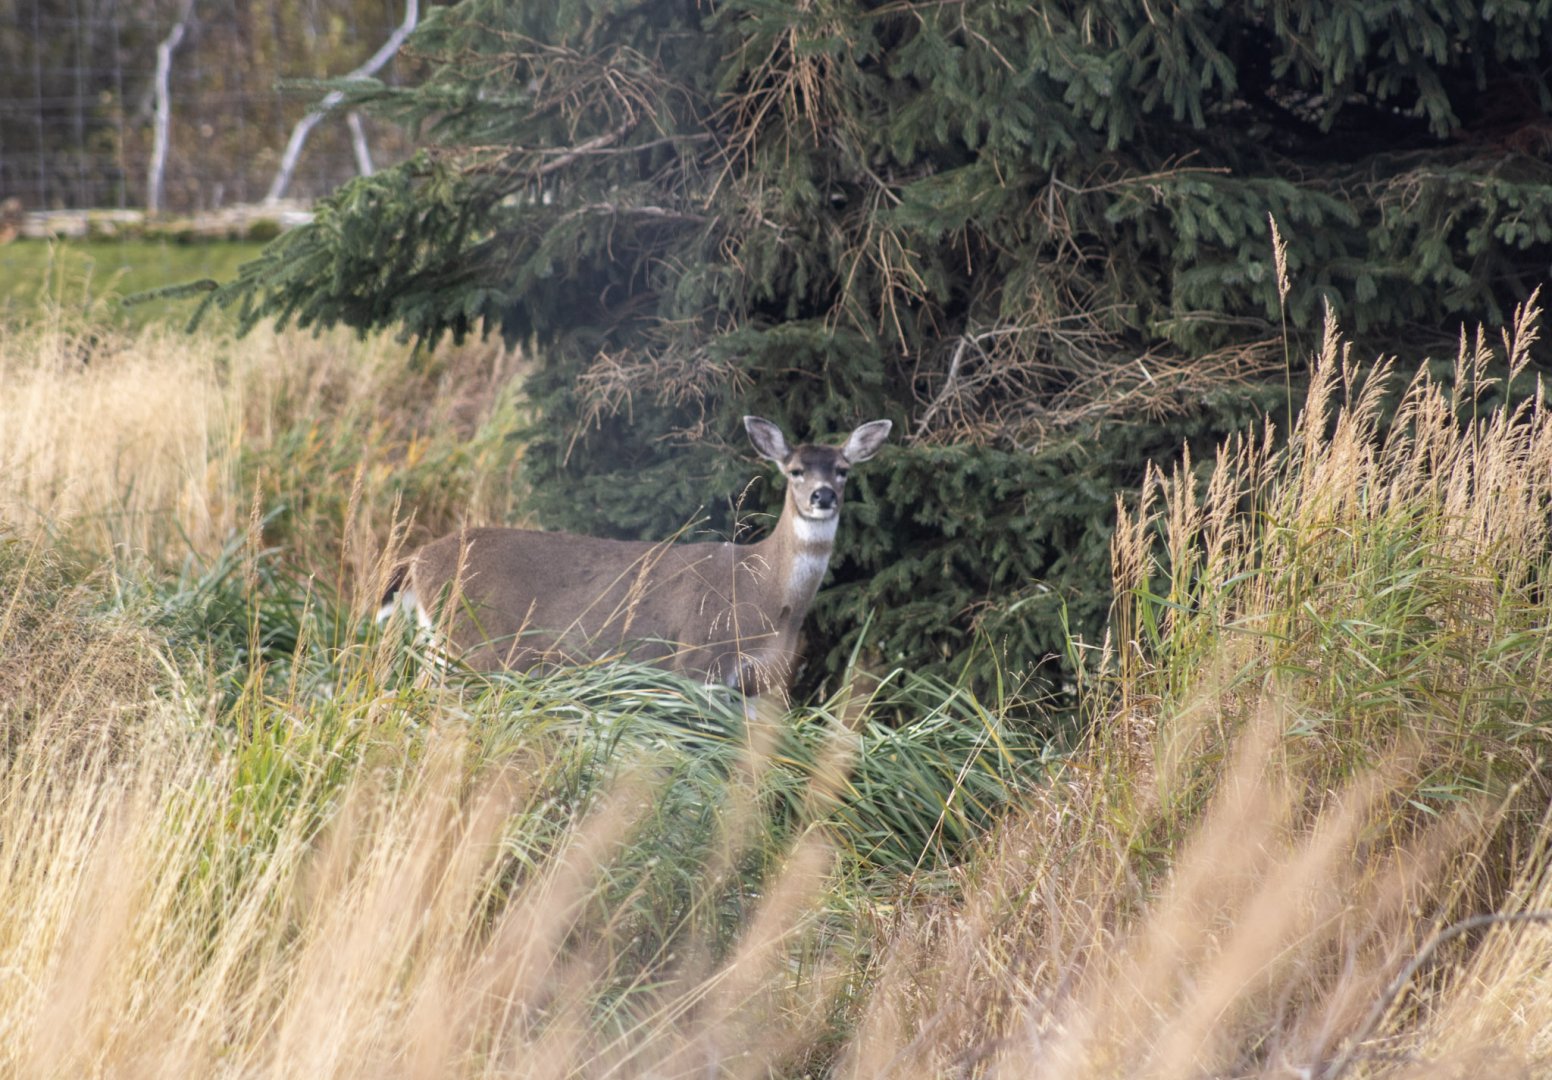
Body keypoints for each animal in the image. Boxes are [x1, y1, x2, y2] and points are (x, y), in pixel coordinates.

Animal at [378, 415, 892, 700]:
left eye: (843, 470)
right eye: (796, 470)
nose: (823, 496)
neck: (764, 591)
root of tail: (416, 562)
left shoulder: (763, 683)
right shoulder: (696, 658)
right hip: (472, 645)